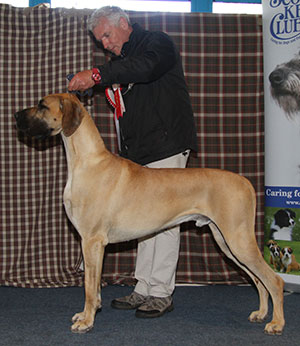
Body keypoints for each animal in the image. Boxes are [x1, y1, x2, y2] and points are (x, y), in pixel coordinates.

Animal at [14, 92, 284, 336]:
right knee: (258, 279)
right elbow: (94, 286)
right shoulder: (92, 244)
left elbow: (89, 286)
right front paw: (87, 314)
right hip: (226, 241)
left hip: (237, 239)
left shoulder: (91, 241)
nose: (15, 115)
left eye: (42, 105)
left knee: (273, 279)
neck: (86, 161)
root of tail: (245, 182)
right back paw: (261, 313)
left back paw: (277, 323)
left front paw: (87, 321)